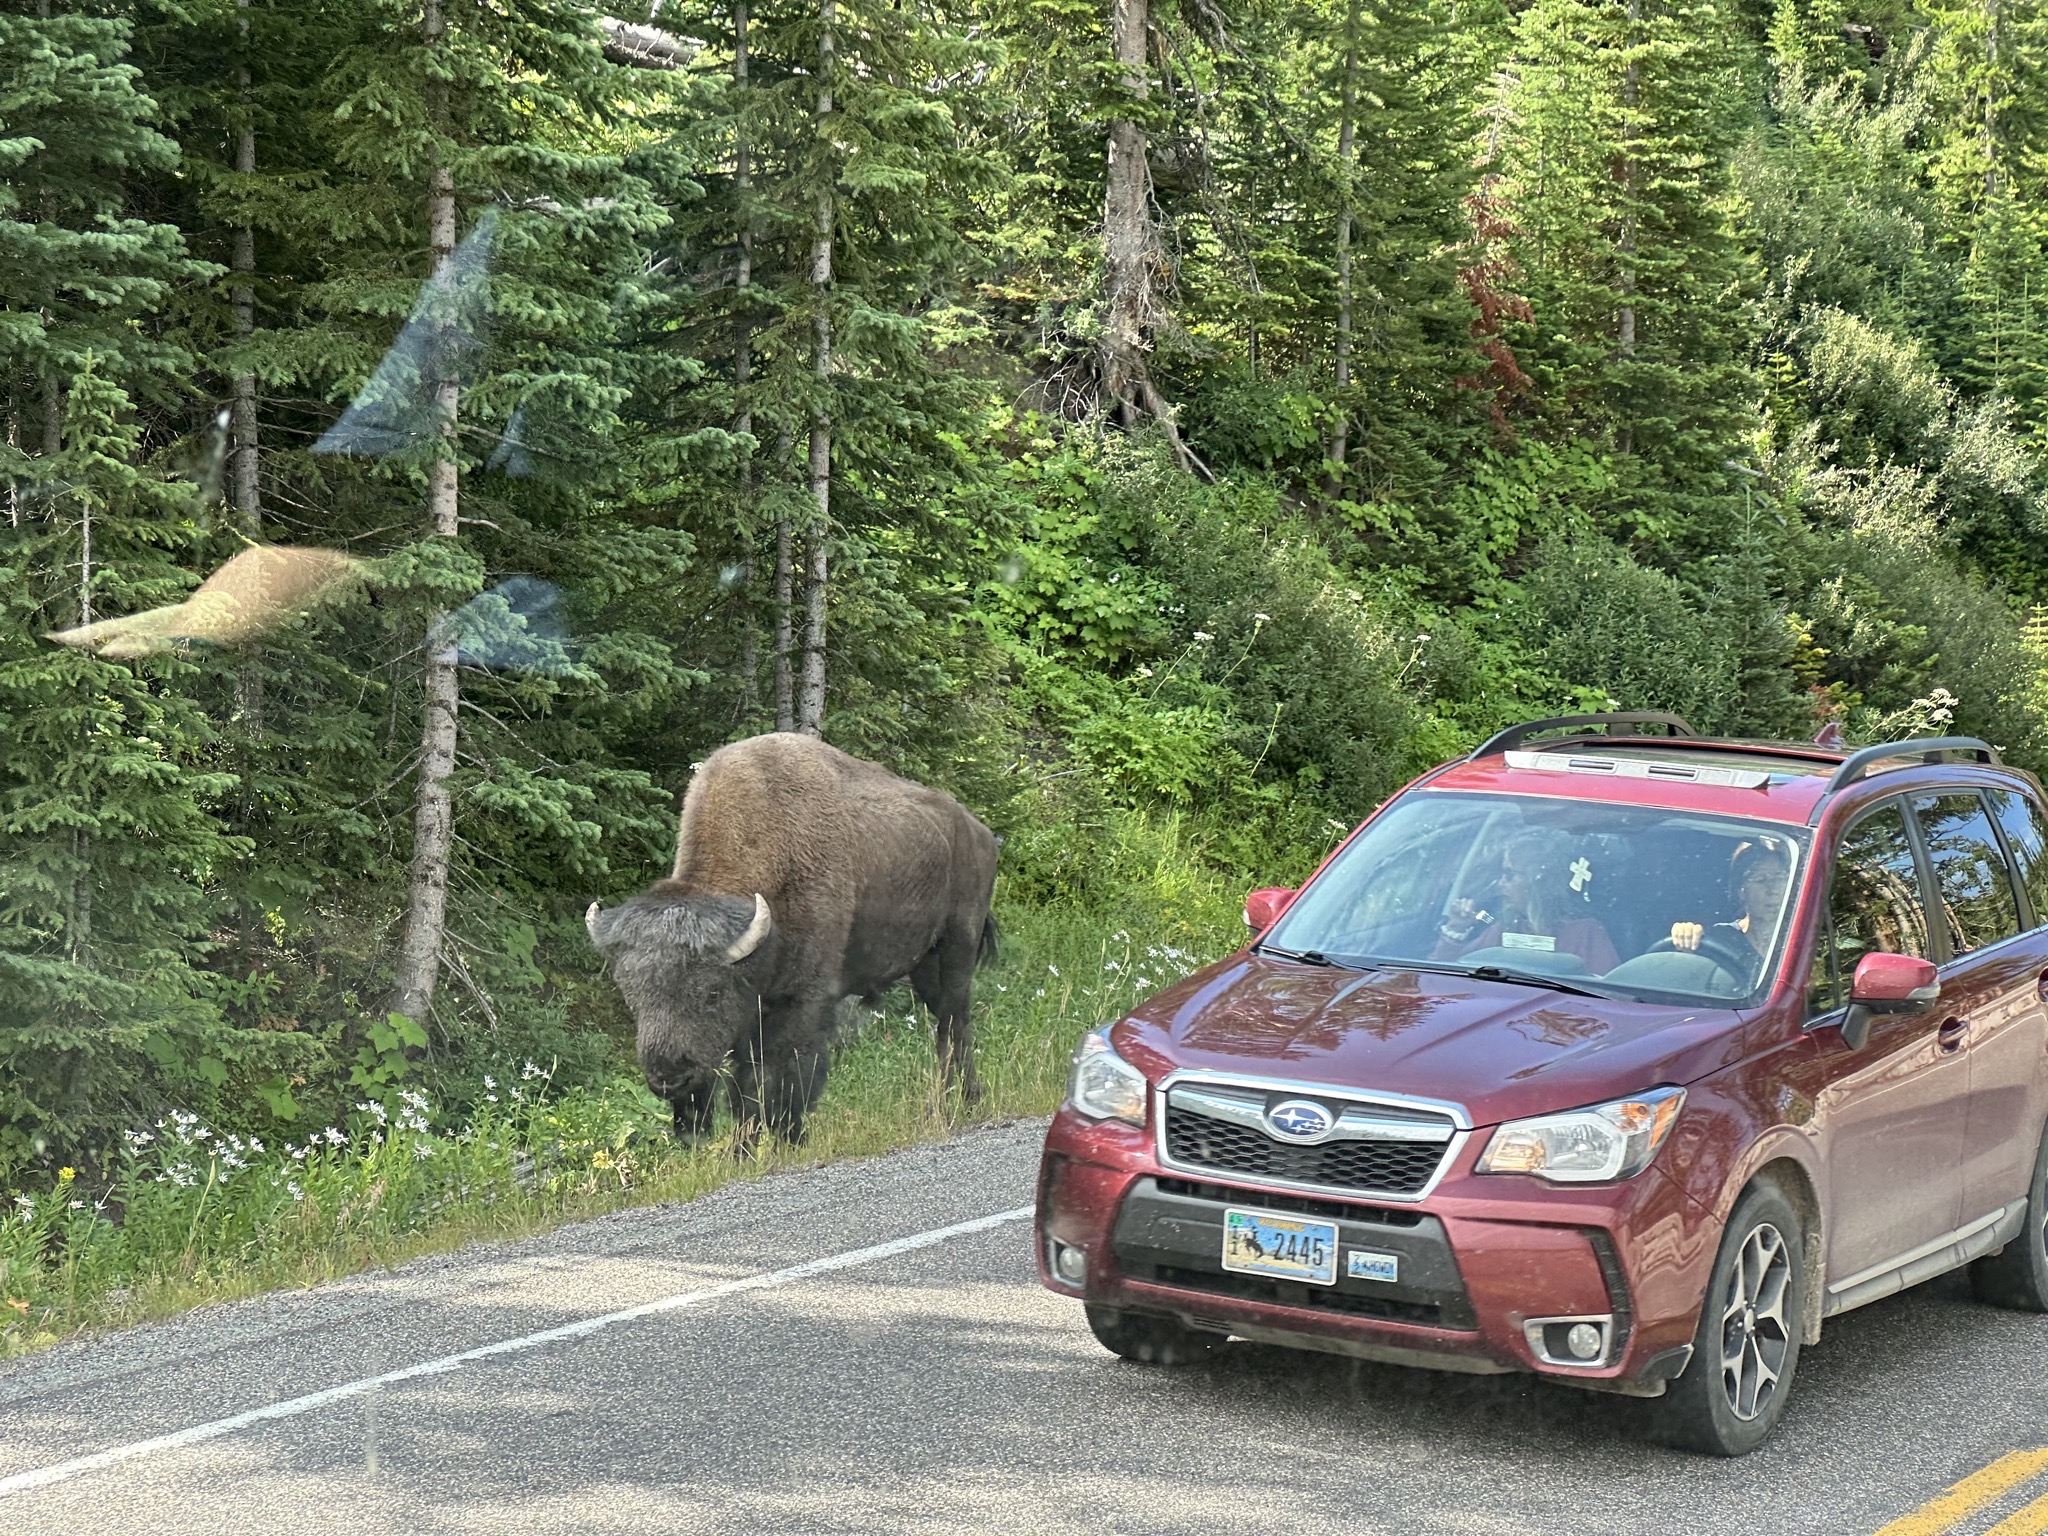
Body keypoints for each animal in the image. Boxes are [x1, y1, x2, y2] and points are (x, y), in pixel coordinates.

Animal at [586, 732, 999, 1145]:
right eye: (633, 997)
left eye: (712, 993)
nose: (669, 1079)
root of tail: (981, 832)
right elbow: (745, 1085)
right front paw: (745, 1146)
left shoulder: (802, 1001)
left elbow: (782, 1076)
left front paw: (786, 1138)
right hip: (924, 965)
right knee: (947, 1026)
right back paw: (948, 1104)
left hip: (958, 946)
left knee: (954, 1023)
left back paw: (961, 1104)